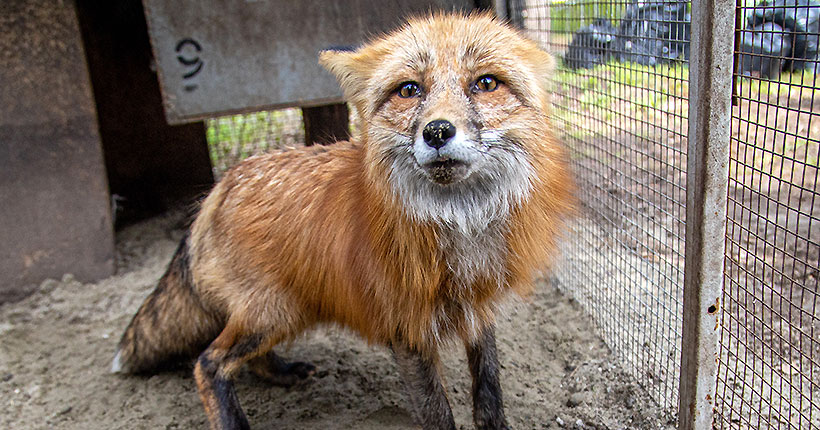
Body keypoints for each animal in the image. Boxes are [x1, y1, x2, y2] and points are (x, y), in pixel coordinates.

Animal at [112, 12, 574, 430]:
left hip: (286, 310)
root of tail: (221, 185)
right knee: (208, 362)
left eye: (486, 83)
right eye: (409, 90)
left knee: (245, 360)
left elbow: (490, 391)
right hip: (272, 312)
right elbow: (438, 413)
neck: (460, 225)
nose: (438, 131)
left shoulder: (479, 306)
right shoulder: (406, 326)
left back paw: (282, 373)